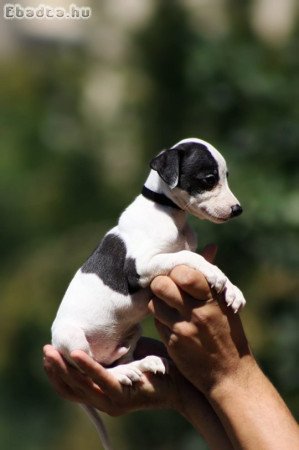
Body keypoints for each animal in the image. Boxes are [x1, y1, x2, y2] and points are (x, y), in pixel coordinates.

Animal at [51, 139, 246, 448]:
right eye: (208, 179)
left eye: (226, 176)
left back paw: (144, 363)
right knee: (92, 367)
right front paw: (216, 276)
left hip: (133, 331)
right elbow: (191, 258)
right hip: (72, 339)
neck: (168, 212)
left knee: (117, 359)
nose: (238, 209)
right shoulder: (142, 266)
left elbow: (193, 258)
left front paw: (232, 289)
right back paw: (122, 372)